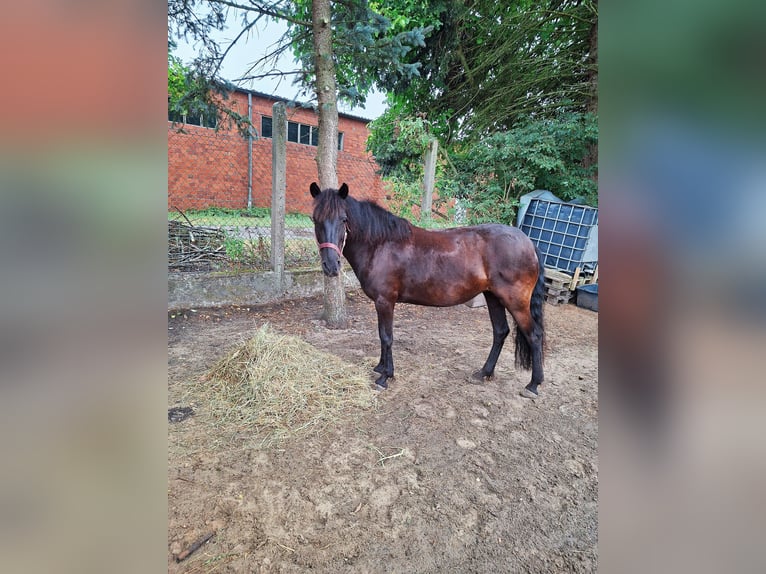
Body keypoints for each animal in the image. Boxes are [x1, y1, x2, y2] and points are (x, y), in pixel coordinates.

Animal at [310, 182, 546, 398]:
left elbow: (386, 337)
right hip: (493, 297)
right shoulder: (380, 302)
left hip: (515, 302)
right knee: (500, 332)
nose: (331, 266)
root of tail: (528, 242)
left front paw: (385, 376)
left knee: (534, 335)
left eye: (343, 219)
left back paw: (533, 385)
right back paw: (484, 373)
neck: (380, 244)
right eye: (315, 219)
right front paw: (380, 367)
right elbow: (381, 335)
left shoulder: (385, 301)